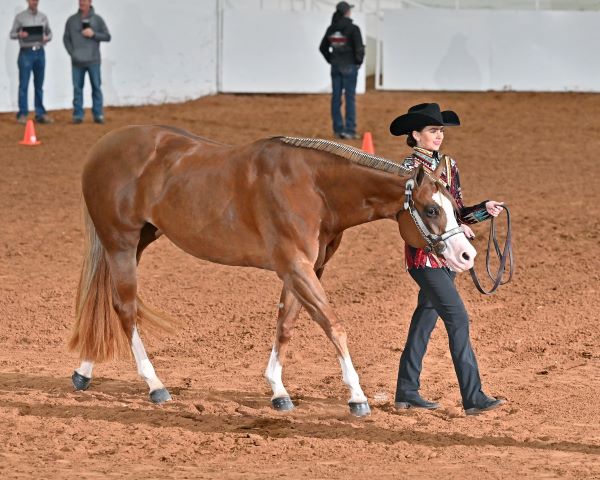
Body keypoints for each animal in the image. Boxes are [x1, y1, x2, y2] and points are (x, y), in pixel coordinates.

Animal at [69, 125, 474, 414]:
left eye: (454, 206)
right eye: (431, 209)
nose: (466, 254)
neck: (313, 188)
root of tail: (101, 148)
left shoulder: (306, 269)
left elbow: (286, 324)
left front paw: (278, 391)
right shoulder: (296, 266)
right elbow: (333, 324)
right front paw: (357, 396)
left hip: (137, 242)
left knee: (108, 301)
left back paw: (84, 371)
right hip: (120, 242)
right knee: (125, 308)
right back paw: (155, 385)